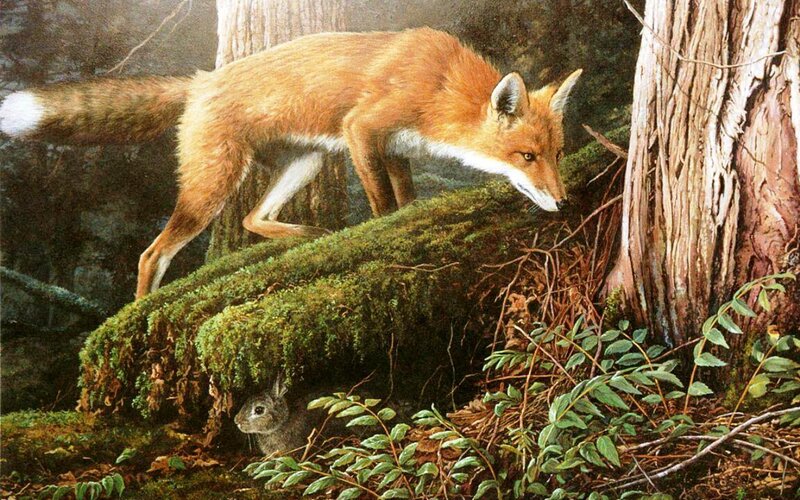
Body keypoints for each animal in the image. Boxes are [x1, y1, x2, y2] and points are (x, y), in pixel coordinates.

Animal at [0, 27, 582, 299]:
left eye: (556, 154)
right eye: (526, 157)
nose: (562, 202)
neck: (439, 86)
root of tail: (201, 80)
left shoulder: (392, 148)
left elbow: (404, 201)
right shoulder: (362, 129)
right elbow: (382, 205)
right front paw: (381, 236)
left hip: (306, 161)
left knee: (253, 218)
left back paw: (309, 234)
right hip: (214, 184)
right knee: (151, 254)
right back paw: (136, 309)